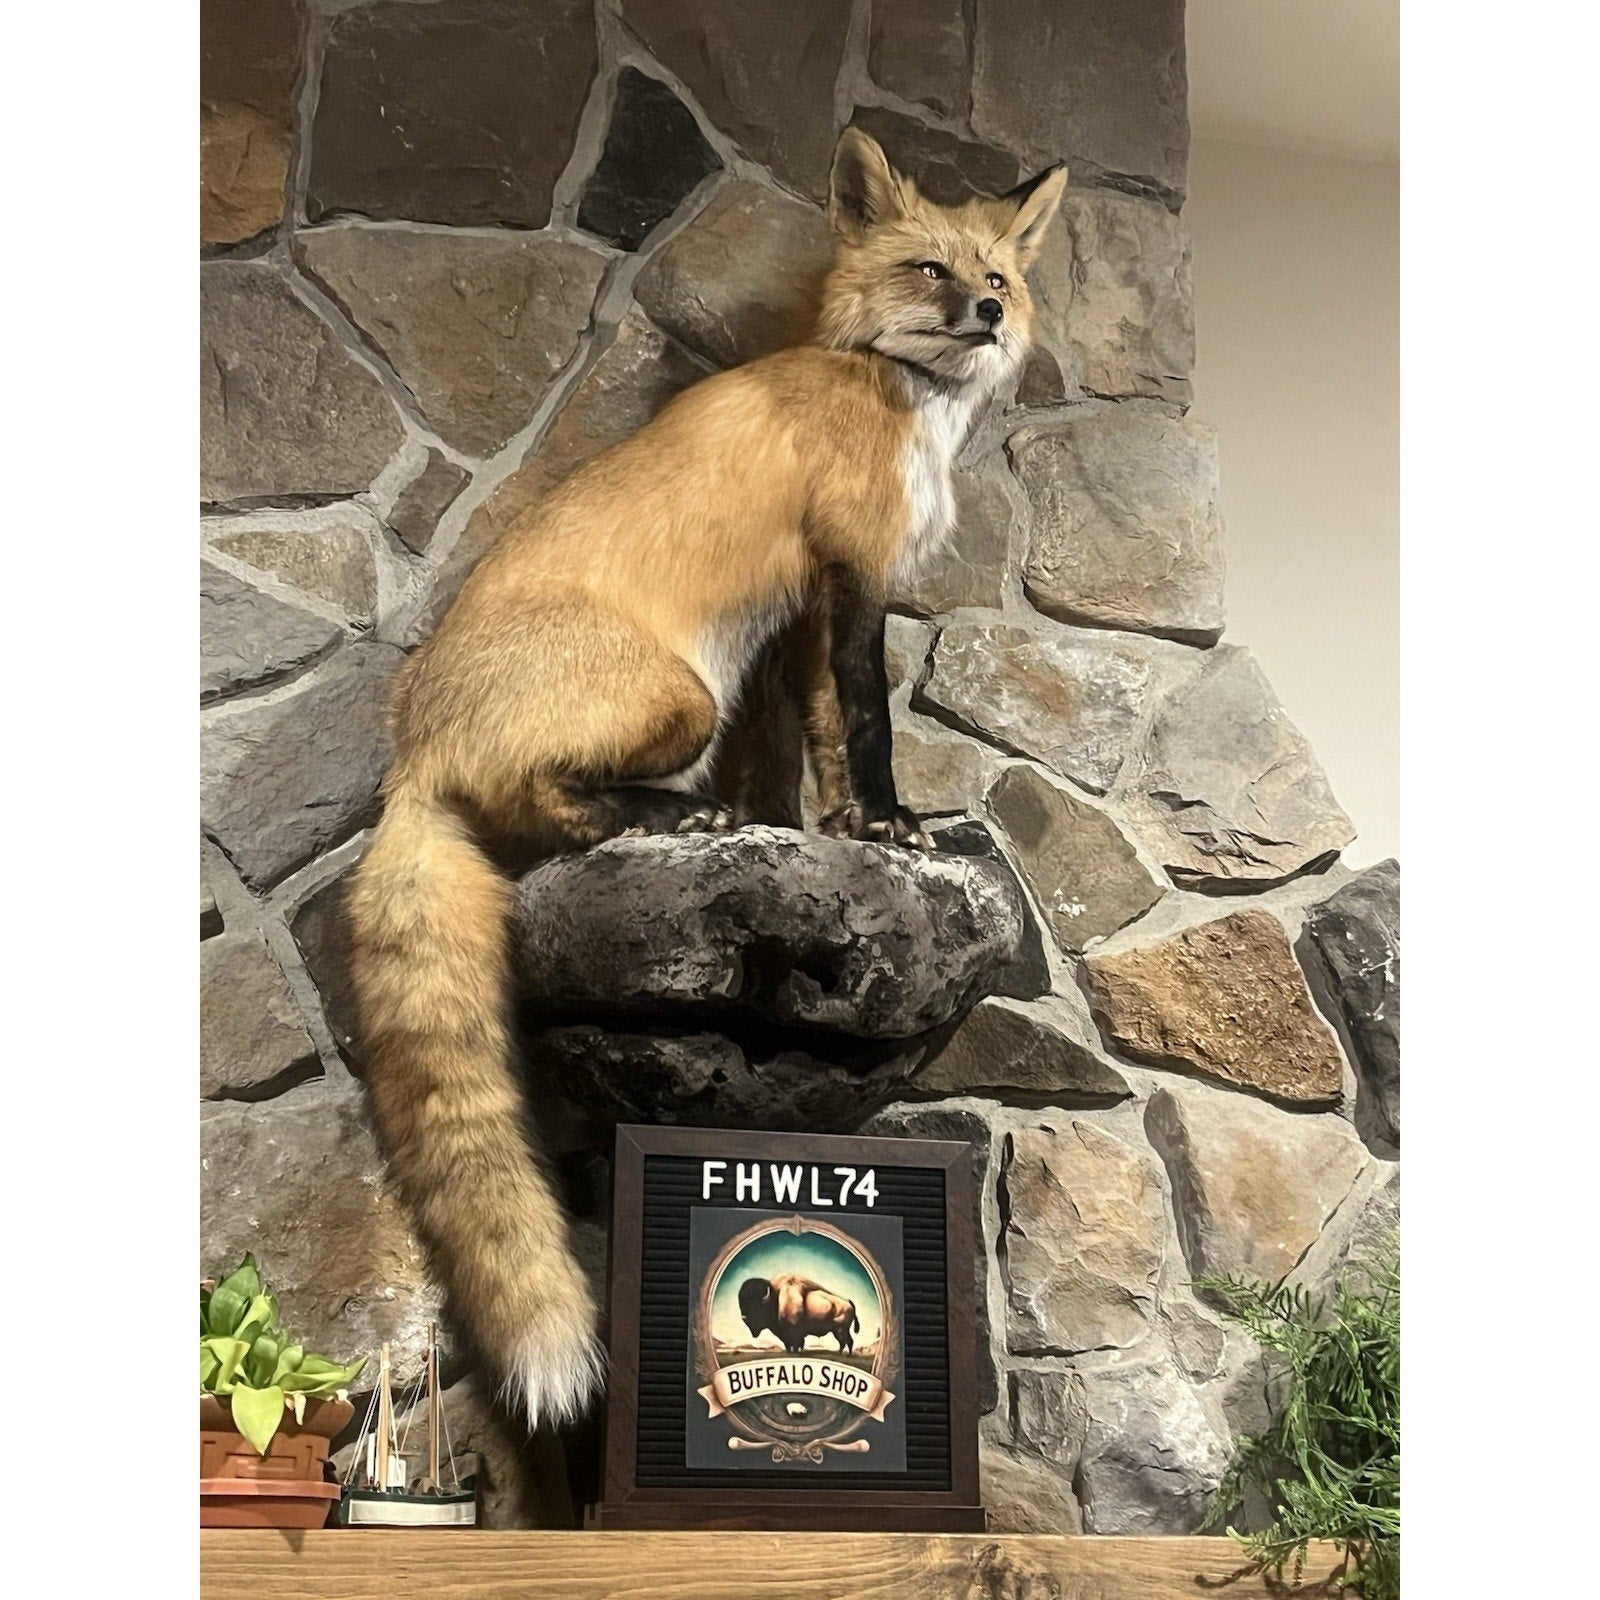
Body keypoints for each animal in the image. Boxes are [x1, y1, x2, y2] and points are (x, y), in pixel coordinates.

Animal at [347, 128, 1067, 1428]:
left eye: (996, 274)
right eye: (931, 269)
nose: (988, 311)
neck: (889, 393)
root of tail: (413, 748)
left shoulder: (803, 610)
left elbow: (819, 739)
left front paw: (848, 827)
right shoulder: (851, 571)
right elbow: (869, 721)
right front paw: (896, 823)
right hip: (679, 696)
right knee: (547, 806)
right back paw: (679, 817)